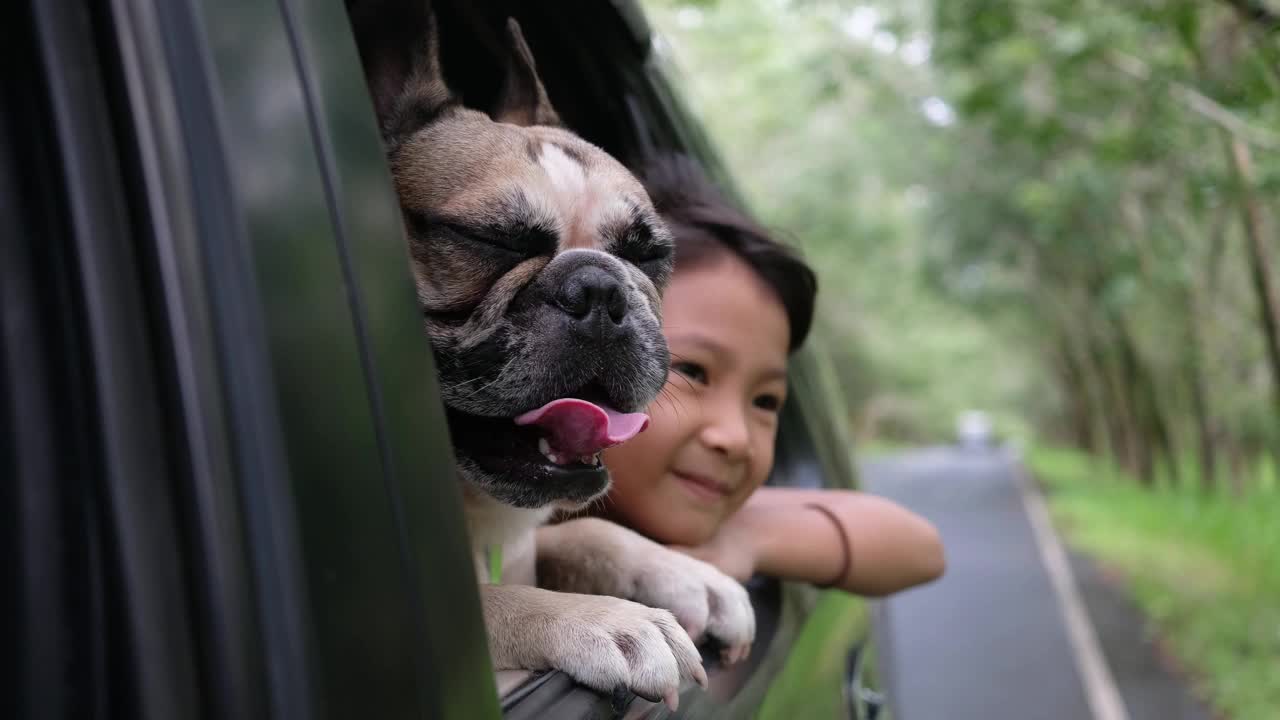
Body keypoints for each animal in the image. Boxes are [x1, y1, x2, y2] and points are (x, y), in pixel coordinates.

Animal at [345, 1, 752, 707]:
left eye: (650, 253)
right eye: (489, 240)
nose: (600, 288)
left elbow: (587, 529)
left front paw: (685, 574)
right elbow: (489, 603)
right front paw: (605, 618)